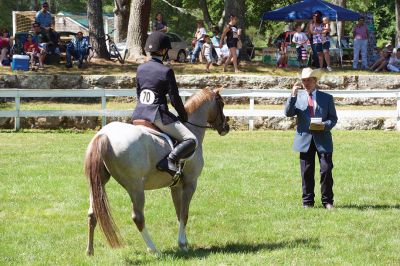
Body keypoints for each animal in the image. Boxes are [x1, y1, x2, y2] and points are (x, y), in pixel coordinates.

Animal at [83, 87, 230, 256]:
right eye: (221, 103)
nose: (226, 127)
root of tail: (103, 135)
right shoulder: (190, 183)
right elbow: (184, 214)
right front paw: (182, 243)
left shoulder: (176, 186)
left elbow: (178, 213)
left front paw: (183, 244)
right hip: (136, 188)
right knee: (138, 217)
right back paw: (153, 249)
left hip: (98, 183)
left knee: (92, 214)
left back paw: (89, 251)